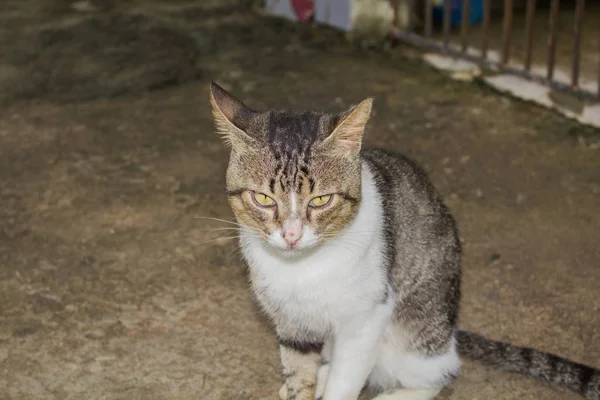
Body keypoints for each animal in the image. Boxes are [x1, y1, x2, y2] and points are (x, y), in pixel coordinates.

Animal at [209, 82, 596, 400]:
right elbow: (299, 372)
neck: (301, 267)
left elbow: (345, 383)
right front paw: (305, 383)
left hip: (411, 339)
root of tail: (451, 331)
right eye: (263, 199)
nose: (291, 235)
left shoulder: (366, 318)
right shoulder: (291, 322)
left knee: (439, 374)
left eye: (320, 201)